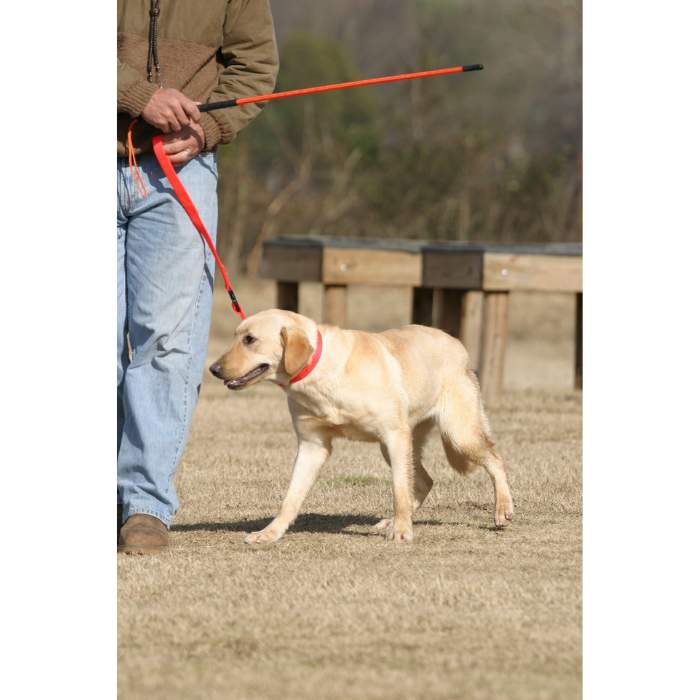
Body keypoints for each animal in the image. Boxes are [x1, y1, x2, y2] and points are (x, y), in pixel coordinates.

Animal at [209, 308, 516, 544]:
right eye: (235, 337)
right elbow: (290, 499)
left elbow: (398, 491)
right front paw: (269, 533)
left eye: (250, 339)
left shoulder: (394, 435)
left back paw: (502, 510)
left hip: (457, 435)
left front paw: (402, 532)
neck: (323, 372)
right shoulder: (312, 446)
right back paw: (394, 520)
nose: (213, 369)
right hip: (398, 445)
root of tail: (456, 343)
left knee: (496, 460)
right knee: (425, 481)